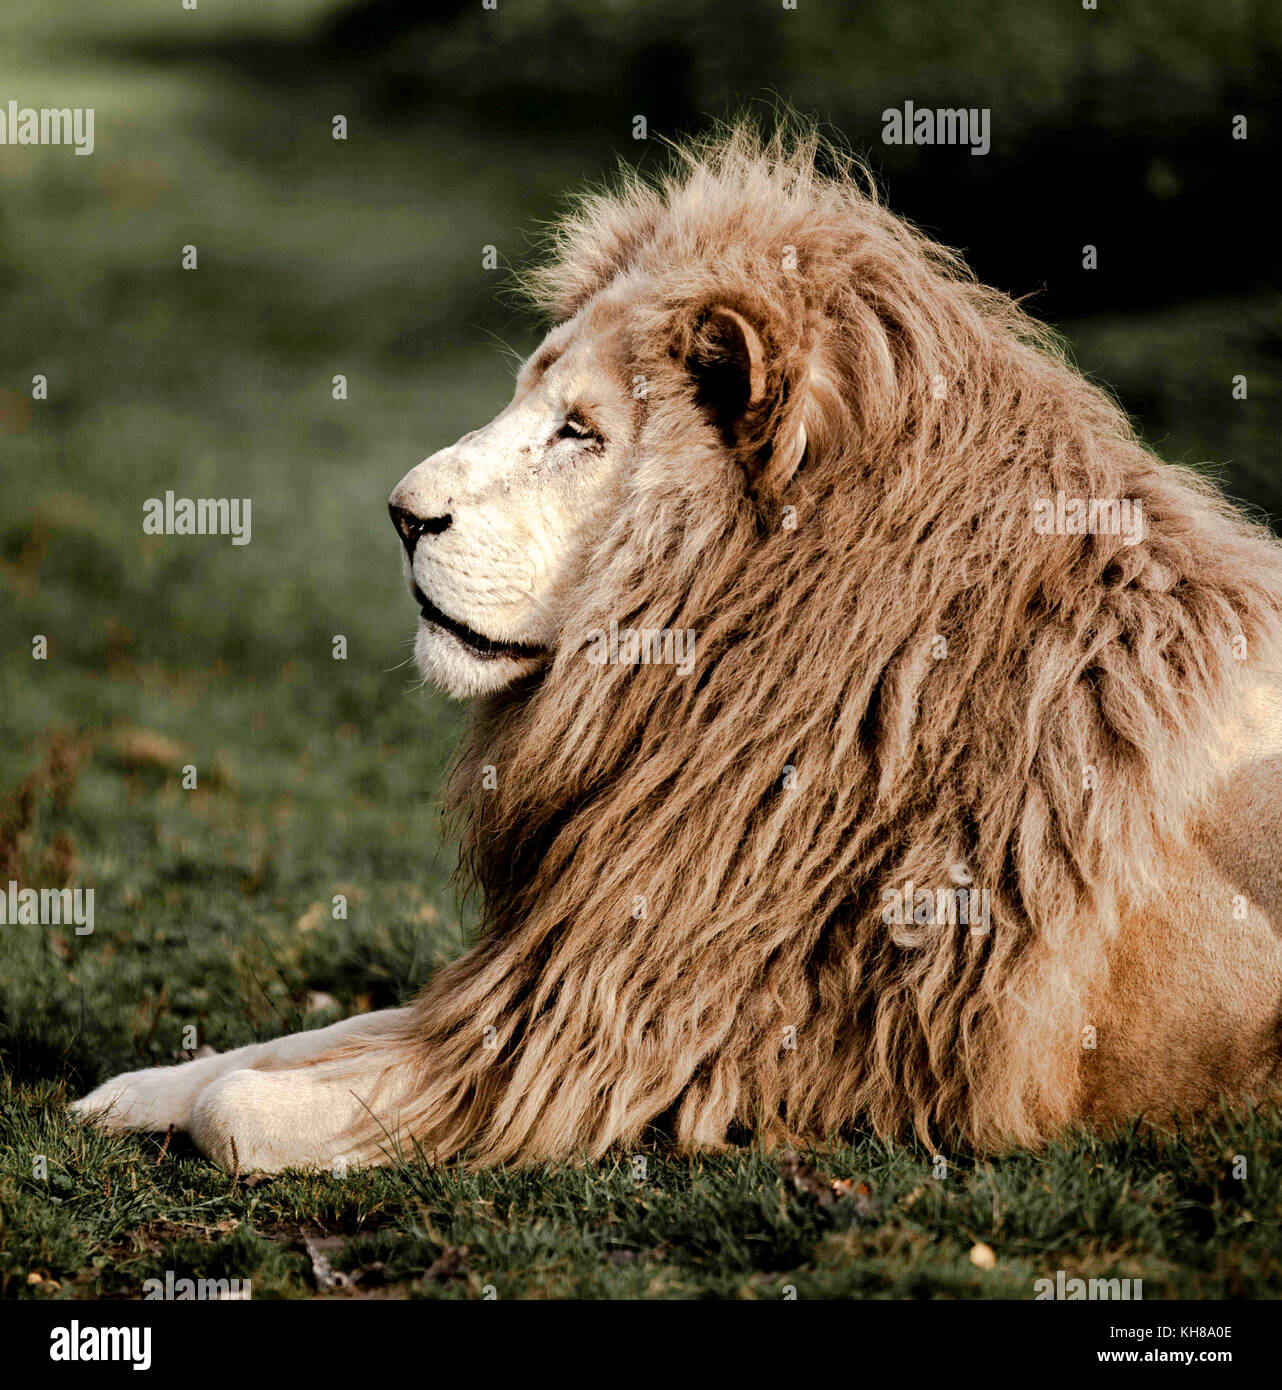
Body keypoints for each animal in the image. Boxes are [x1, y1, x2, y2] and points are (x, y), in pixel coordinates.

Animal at [74, 126, 1282, 1171]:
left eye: (580, 431)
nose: (401, 515)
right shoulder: (568, 969)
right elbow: (300, 1039)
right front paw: (124, 1092)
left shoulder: (654, 1037)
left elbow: (245, 1109)